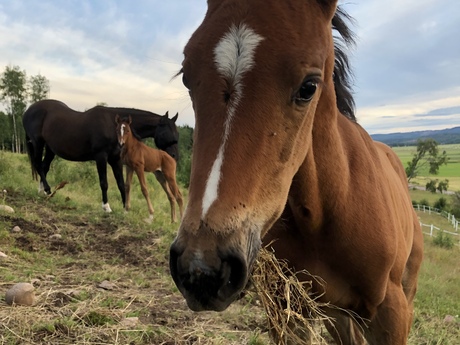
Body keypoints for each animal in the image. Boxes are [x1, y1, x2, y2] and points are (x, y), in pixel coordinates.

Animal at [23, 99, 179, 211]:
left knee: (44, 167)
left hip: (50, 149)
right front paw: (106, 207)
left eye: (177, 134)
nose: (174, 156)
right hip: (38, 143)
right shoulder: (101, 157)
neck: (113, 126)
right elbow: (104, 183)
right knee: (38, 165)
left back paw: (43, 191)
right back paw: (47, 189)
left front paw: (125, 207)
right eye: (167, 133)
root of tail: (28, 111)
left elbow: (121, 184)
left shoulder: (116, 159)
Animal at [170, 1, 424, 342]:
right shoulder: (288, 309)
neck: (328, 210)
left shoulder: (392, 314)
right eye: (187, 76)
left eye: (309, 87)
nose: (201, 267)